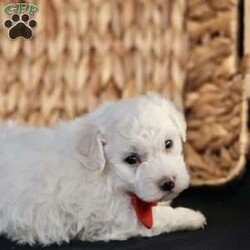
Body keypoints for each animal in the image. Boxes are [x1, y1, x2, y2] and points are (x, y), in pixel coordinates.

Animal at [0, 93, 205, 244]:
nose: (168, 183)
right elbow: (163, 217)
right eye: (131, 159)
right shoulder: (120, 217)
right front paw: (193, 217)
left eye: (168, 144)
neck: (108, 176)